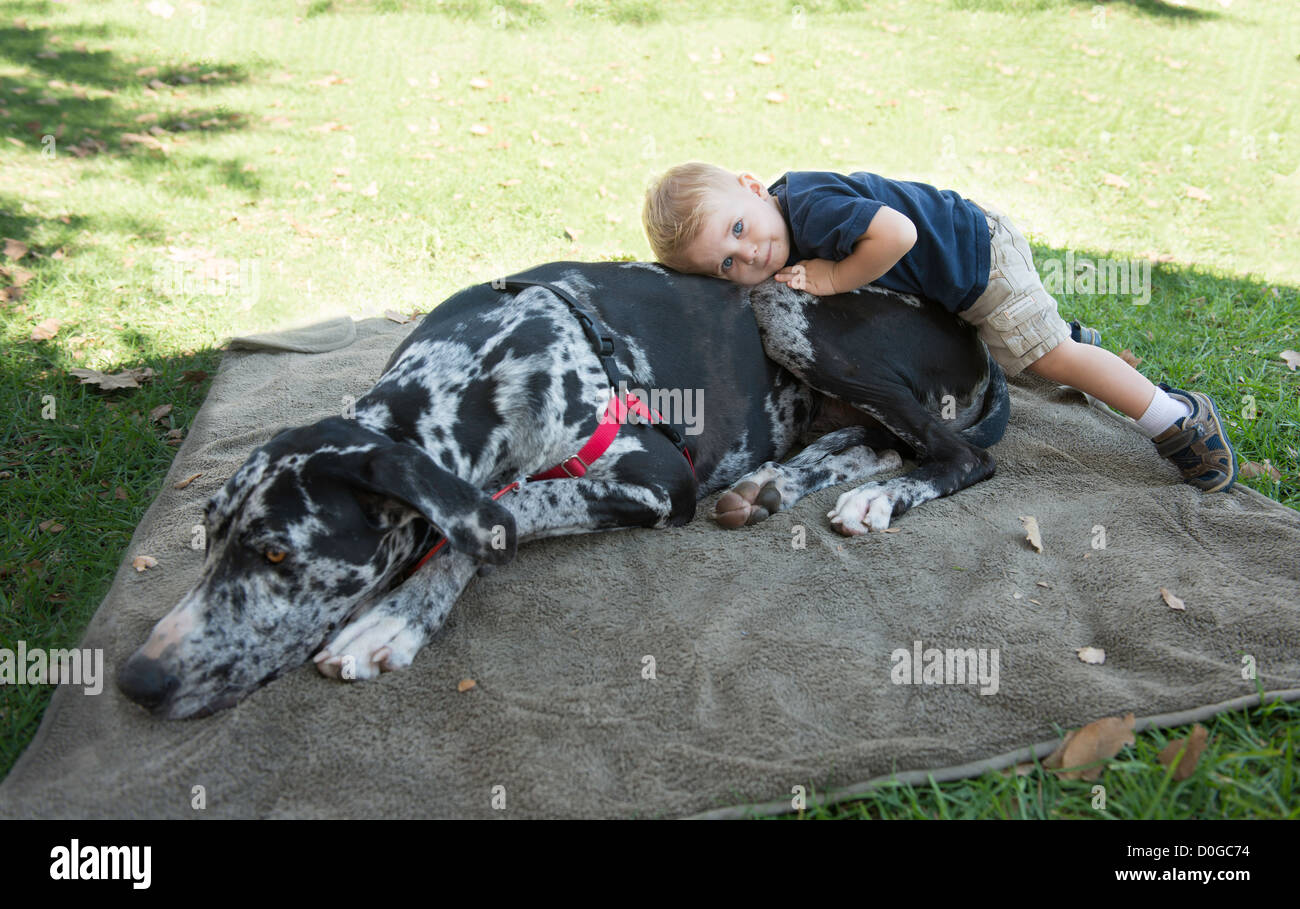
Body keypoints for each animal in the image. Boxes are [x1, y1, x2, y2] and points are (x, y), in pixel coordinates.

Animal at [122, 261, 1008, 717]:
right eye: (207, 534)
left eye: (277, 554)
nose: (136, 680)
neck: (483, 368)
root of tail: (973, 335)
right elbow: (489, 511)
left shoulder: (662, 479)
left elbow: (503, 509)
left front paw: (396, 617)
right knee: (872, 440)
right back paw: (775, 482)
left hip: (782, 302)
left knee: (961, 454)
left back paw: (879, 497)